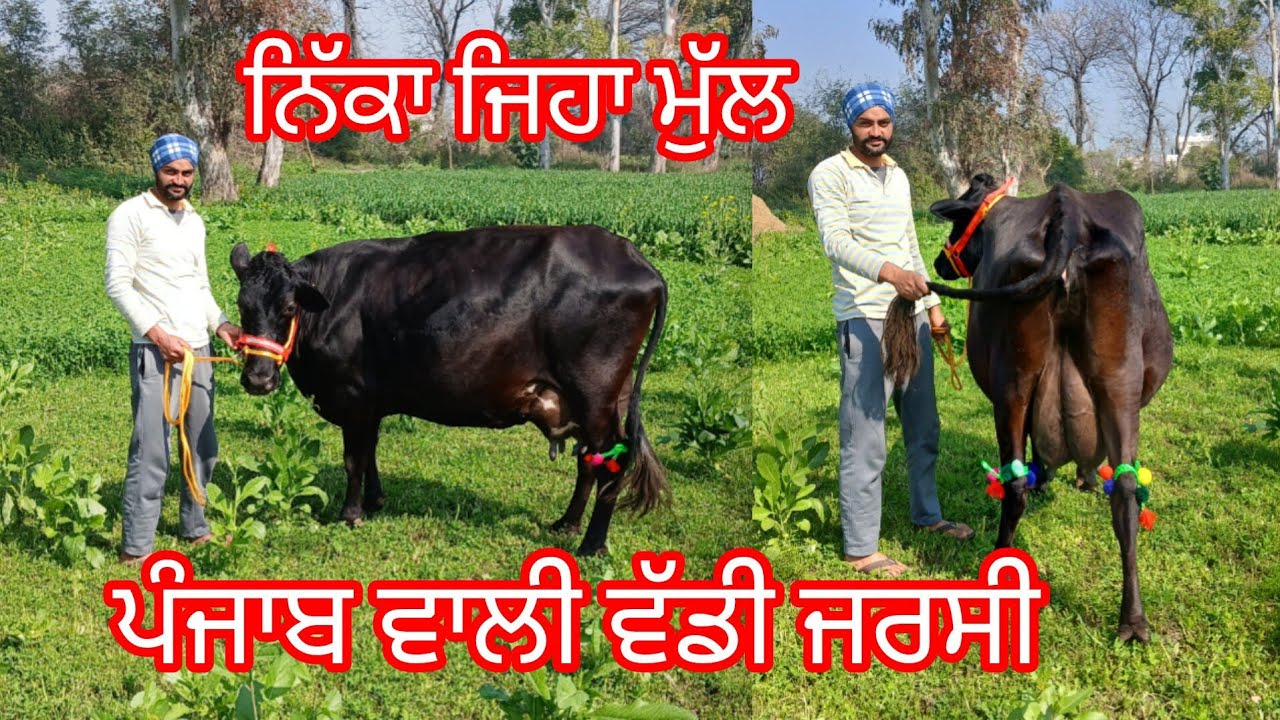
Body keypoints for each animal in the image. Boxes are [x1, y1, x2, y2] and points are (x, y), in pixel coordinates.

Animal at [228, 225, 669, 557]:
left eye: (288, 308)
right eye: (242, 305)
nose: (257, 379)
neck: (331, 303)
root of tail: (637, 260)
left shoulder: (352, 398)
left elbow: (354, 459)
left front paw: (351, 513)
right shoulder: (371, 403)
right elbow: (370, 454)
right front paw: (375, 501)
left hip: (594, 393)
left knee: (611, 460)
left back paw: (592, 544)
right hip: (600, 399)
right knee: (589, 461)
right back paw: (567, 524)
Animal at [882, 174, 1173, 642]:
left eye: (957, 224)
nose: (939, 263)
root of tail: (1067, 215)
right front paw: (1077, 478)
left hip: (1019, 385)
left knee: (1024, 482)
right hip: (1112, 384)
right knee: (1123, 487)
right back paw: (1132, 620)